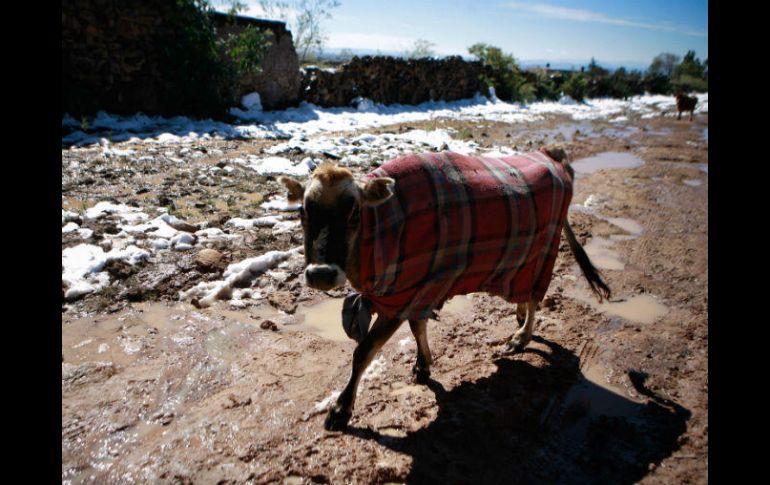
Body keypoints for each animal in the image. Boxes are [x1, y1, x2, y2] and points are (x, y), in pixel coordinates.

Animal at [280, 146, 608, 430]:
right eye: (303, 212)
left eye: (354, 213)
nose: (321, 273)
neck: (384, 228)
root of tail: (553, 154)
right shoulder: (417, 290)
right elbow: (418, 328)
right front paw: (423, 366)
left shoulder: (400, 298)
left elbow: (364, 352)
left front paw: (341, 409)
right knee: (525, 294)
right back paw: (518, 314)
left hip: (544, 252)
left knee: (537, 297)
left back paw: (521, 337)